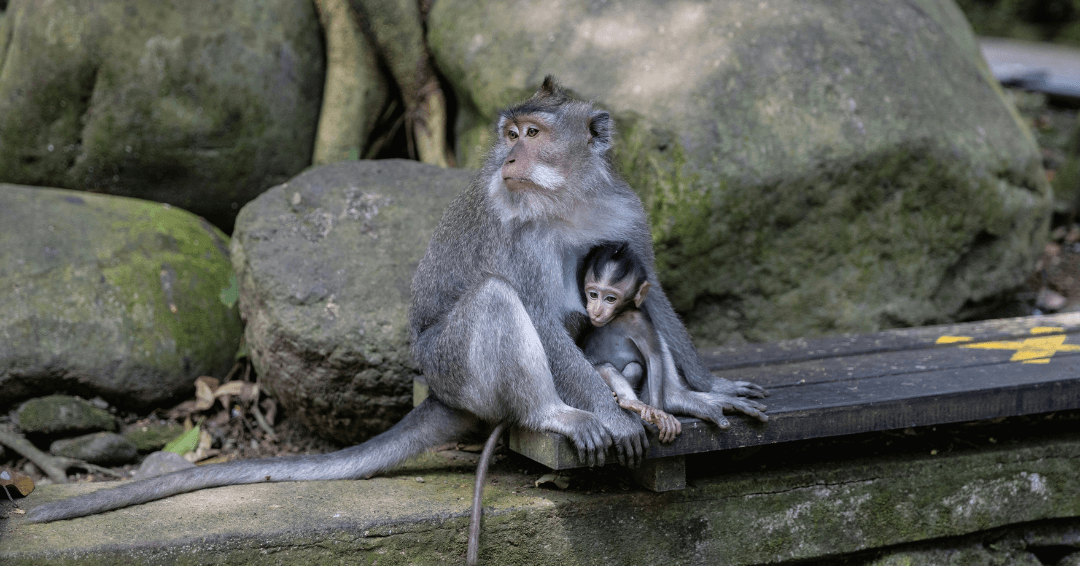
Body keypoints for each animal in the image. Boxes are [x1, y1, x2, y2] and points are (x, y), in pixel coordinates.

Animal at [578, 240, 678, 445]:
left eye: (610, 299)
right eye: (593, 295)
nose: (596, 311)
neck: (616, 317)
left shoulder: (638, 322)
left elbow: (653, 357)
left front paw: (657, 411)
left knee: (634, 367)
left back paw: (629, 403)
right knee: (607, 367)